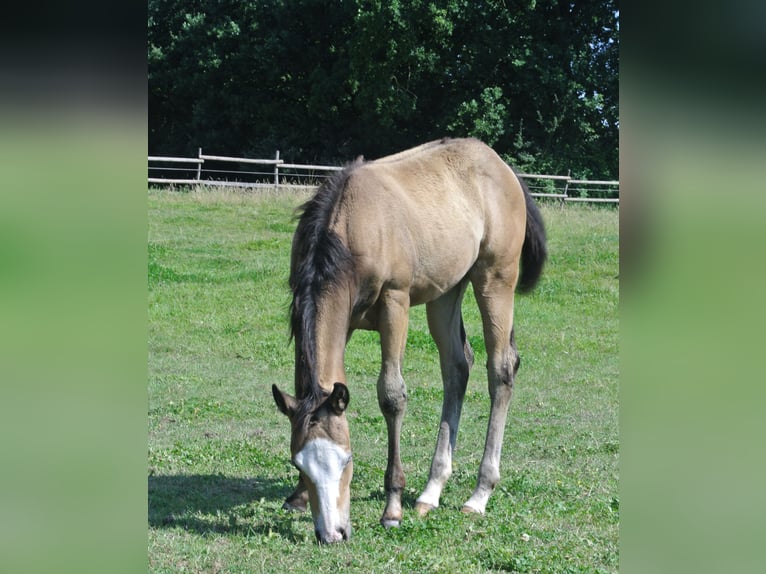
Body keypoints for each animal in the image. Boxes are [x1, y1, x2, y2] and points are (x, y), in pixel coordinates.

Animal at [272, 136, 548, 544]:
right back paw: (431, 492)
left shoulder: (395, 303)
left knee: (500, 370)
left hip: (495, 279)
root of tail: (502, 167)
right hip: (445, 293)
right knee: (457, 368)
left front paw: (392, 509)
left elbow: (392, 395)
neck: (350, 227)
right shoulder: (341, 317)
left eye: (347, 460)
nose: (332, 533)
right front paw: (298, 497)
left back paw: (478, 495)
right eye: (299, 463)